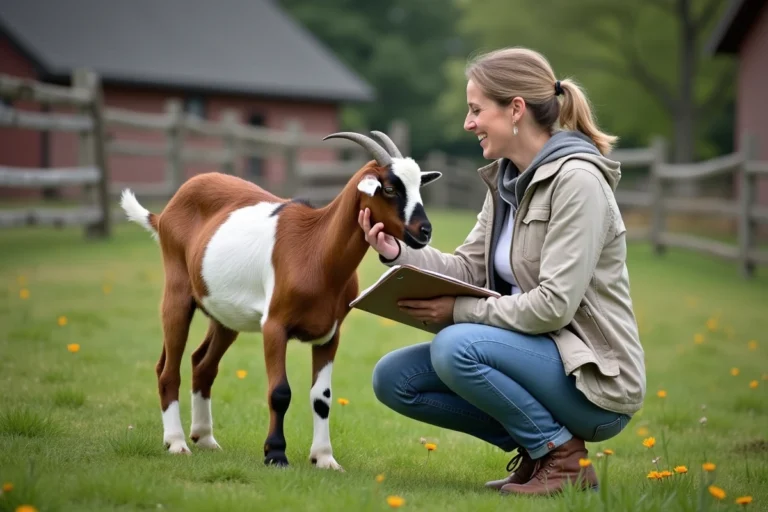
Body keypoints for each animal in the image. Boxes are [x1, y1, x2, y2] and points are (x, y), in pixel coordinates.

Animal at [120, 130, 441, 471]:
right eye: (390, 189)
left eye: (418, 187)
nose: (424, 231)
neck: (316, 248)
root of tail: (164, 213)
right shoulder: (274, 325)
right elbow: (279, 392)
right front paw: (275, 454)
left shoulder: (330, 333)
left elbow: (322, 396)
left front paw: (324, 458)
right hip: (177, 292)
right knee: (168, 369)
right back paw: (177, 442)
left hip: (224, 314)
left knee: (202, 364)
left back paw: (204, 438)